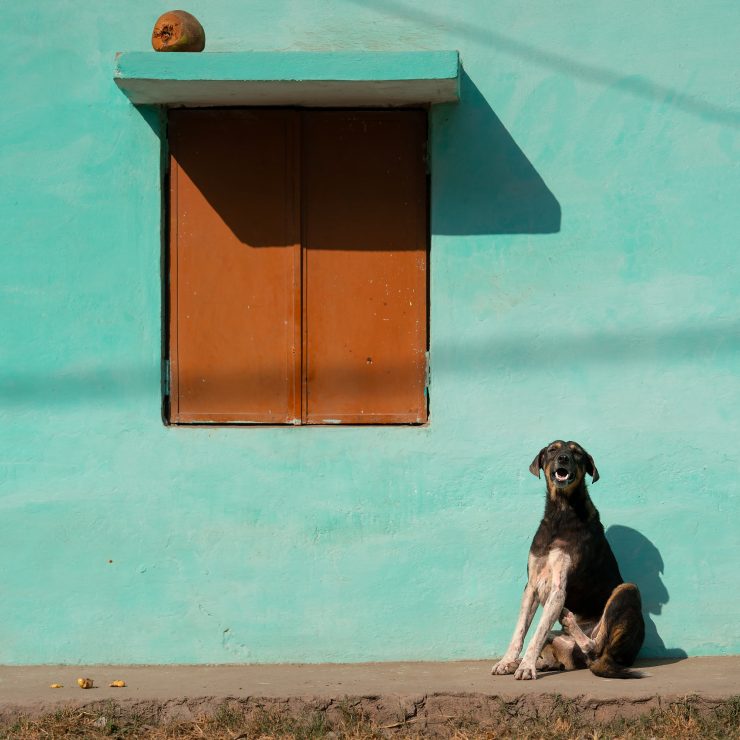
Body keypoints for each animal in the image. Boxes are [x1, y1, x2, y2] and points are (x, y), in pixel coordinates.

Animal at [494, 442, 644, 680]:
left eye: (577, 452)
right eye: (552, 450)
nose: (563, 458)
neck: (560, 513)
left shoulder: (558, 587)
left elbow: (536, 634)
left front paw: (526, 667)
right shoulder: (532, 586)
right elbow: (520, 631)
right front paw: (508, 661)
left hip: (627, 589)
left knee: (594, 645)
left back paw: (571, 626)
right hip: (558, 638)